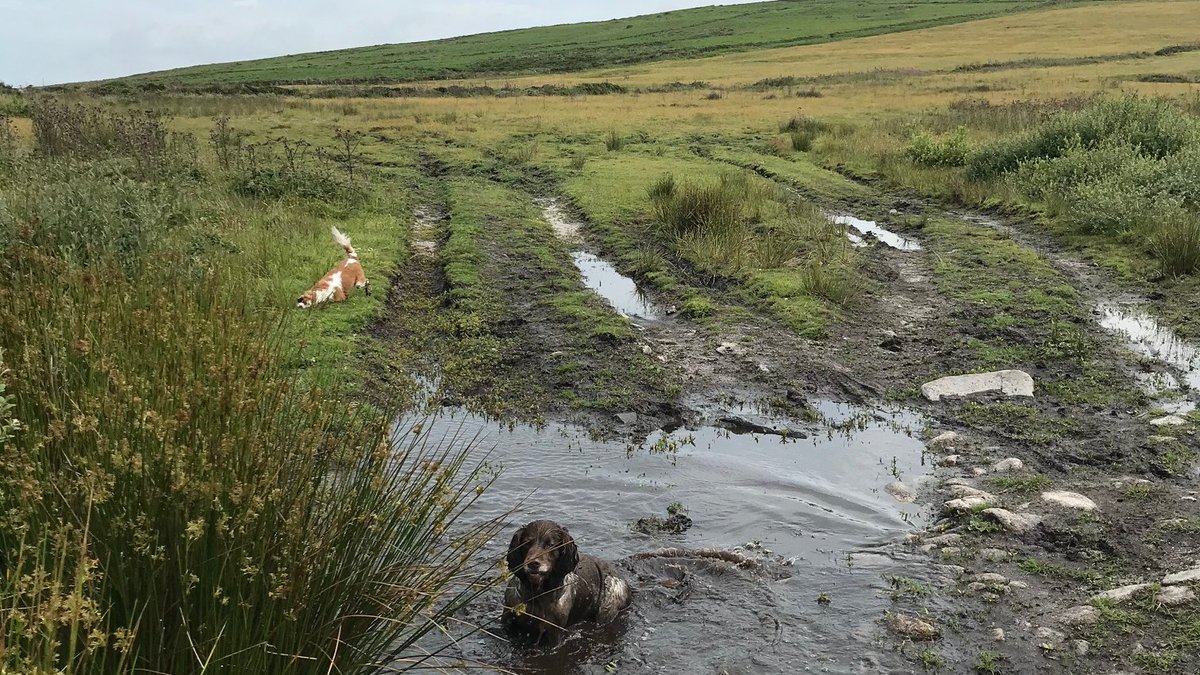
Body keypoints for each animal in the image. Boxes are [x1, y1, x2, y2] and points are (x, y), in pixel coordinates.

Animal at [499, 516, 633, 643]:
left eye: (551, 545)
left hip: (606, 610)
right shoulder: (507, 616)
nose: (533, 563)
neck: (536, 595)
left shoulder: (553, 632)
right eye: (526, 543)